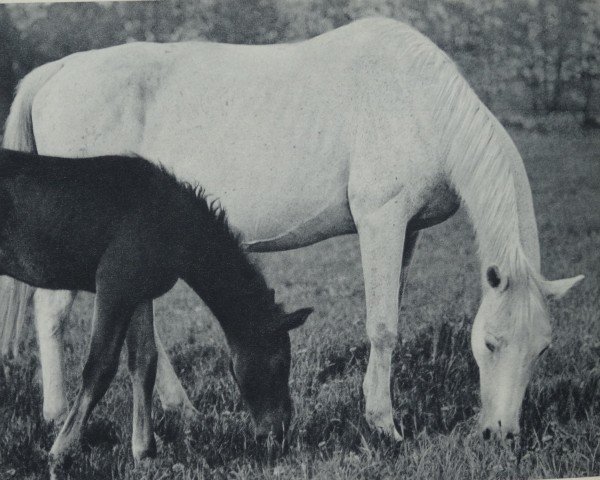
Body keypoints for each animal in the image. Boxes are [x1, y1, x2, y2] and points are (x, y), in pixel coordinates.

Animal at [0, 17, 580, 438]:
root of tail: (55, 71)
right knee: (52, 314)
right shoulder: (382, 219)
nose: (501, 434)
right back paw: (57, 414)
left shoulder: (407, 232)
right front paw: (383, 426)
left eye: (541, 350)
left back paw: (179, 408)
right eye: (490, 344)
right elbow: (383, 326)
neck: (417, 102)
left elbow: (392, 311)